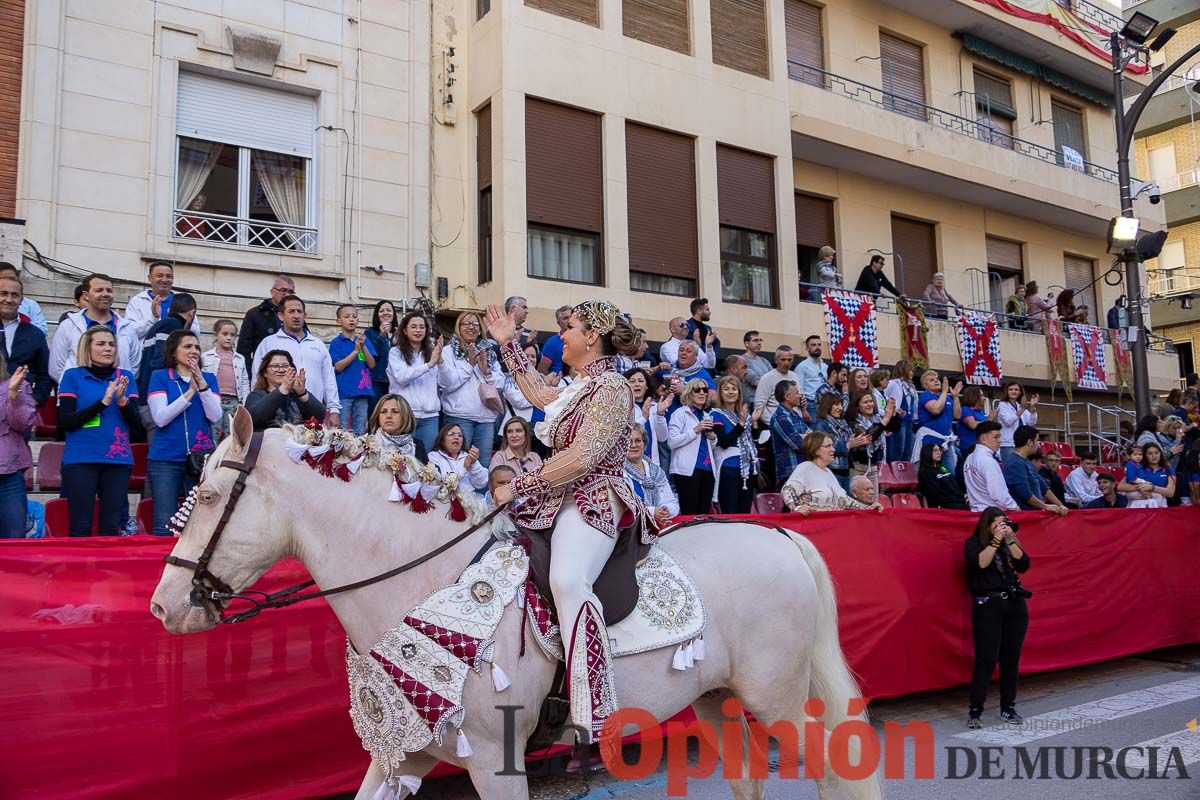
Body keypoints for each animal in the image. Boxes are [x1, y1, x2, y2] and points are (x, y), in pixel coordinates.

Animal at [147, 410, 883, 796]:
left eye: (207, 497)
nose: (162, 607)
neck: (425, 578)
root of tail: (780, 535)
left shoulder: (493, 764)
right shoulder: (400, 755)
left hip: (777, 697)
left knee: (834, 767)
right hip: (716, 699)